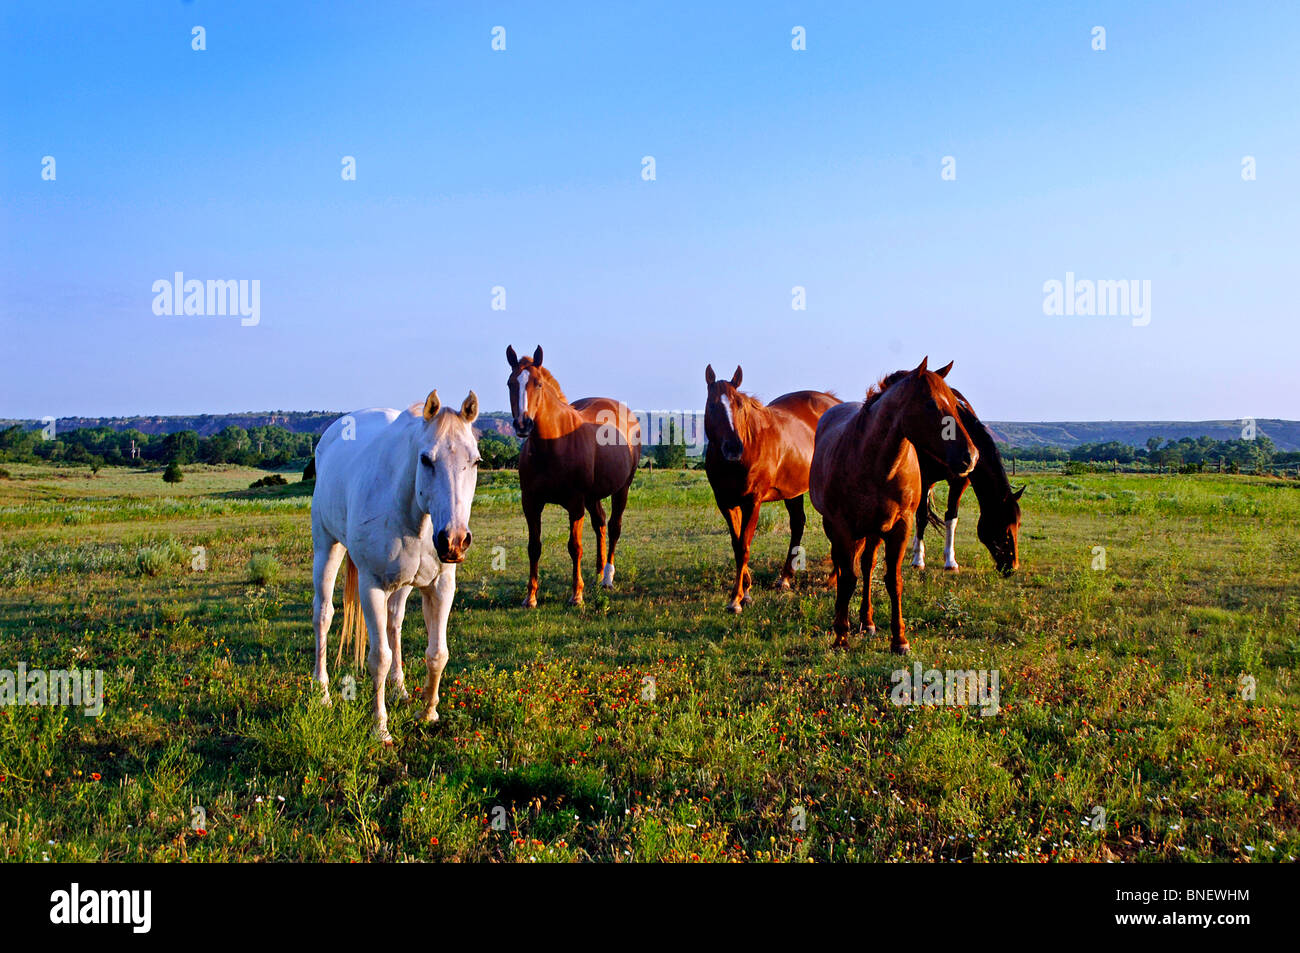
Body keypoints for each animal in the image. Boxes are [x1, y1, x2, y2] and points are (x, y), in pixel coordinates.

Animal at [310, 387, 483, 743]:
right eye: (426, 459)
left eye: (475, 461)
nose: (454, 541)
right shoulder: (372, 586)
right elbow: (379, 657)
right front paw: (380, 729)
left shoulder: (441, 587)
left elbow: (437, 653)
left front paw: (428, 713)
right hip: (326, 547)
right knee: (323, 615)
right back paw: (321, 694)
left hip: (402, 585)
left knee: (394, 623)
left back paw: (399, 690)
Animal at [501, 345, 639, 605]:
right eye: (510, 383)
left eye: (538, 384)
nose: (523, 424)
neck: (553, 444)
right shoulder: (531, 503)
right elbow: (534, 547)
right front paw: (530, 597)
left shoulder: (575, 504)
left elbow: (575, 547)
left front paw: (576, 594)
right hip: (593, 497)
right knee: (600, 524)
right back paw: (598, 573)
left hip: (622, 489)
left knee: (614, 527)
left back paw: (607, 578)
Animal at [707, 361, 837, 613]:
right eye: (713, 404)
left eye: (739, 405)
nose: (733, 448)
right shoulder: (726, 503)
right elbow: (737, 545)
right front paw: (746, 590)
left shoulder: (752, 502)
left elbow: (744, 546)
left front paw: (736, 599)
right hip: (793, 491)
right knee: (798, 524)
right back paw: (785, 577)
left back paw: (833, 579)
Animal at [806, 356, 977, 655]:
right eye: (931, 404)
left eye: (956, 406)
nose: (971, 457)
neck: (875, 463)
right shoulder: (842, 528)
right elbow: (847, 578)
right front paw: (841, 636)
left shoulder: (900, 527)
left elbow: (892, 580)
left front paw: (899, 640)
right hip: (837, 527)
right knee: (845, 566)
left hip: (874, 531)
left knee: (866, 565)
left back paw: (867, 622)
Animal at [909, 384, 1019, 572]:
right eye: (1003, 526)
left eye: (1018, 525)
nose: (1012, 566)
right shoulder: (925, 478)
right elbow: (922, 516)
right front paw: (918, 560)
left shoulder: (959, 481)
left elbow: (951, 517)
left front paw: (950, 561)